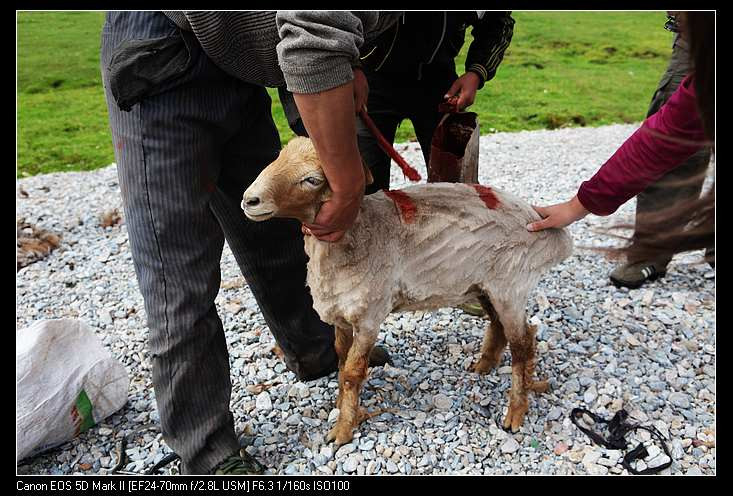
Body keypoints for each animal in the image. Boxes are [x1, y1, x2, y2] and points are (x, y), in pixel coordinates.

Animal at [240, 137, 572, 446]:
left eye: (311, 179)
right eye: (279, 157)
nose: (249, 200)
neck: (356, 232)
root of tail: (544, 226)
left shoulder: (369, 316)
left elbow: (352, 372)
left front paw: (343, 430)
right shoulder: (341, 316)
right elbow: (341, 360)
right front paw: (341, 406)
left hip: (510, 283)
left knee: (523, 343)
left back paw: (515, 412)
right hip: (483, 284)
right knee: (499, 326)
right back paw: (484, 365)